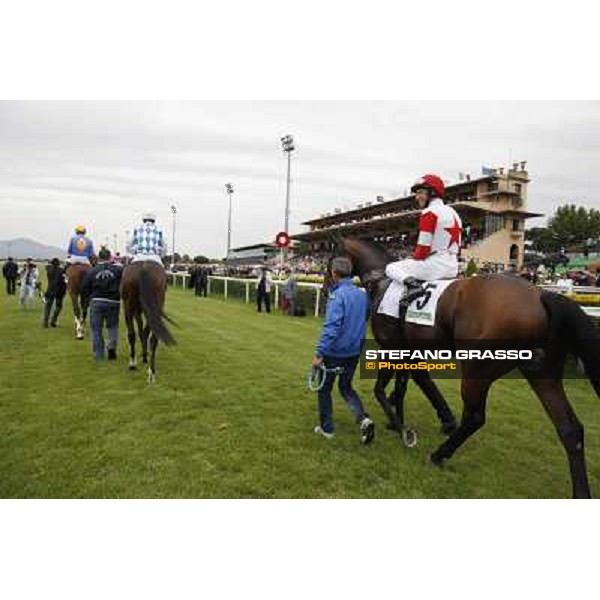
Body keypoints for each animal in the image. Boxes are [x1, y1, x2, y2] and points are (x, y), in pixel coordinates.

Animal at [338, 237, 600, 500]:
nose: (332, 283)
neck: (381, 280)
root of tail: (540, 295)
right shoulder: (410, 349)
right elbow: (412, 382)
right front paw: (407, 421)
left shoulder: (391, 346)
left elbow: (399, 385)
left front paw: (405, 424)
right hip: (542, 372)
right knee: (569, 429)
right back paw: (581, 492)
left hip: (478, 368)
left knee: (474, 417)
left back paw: (438, 455)